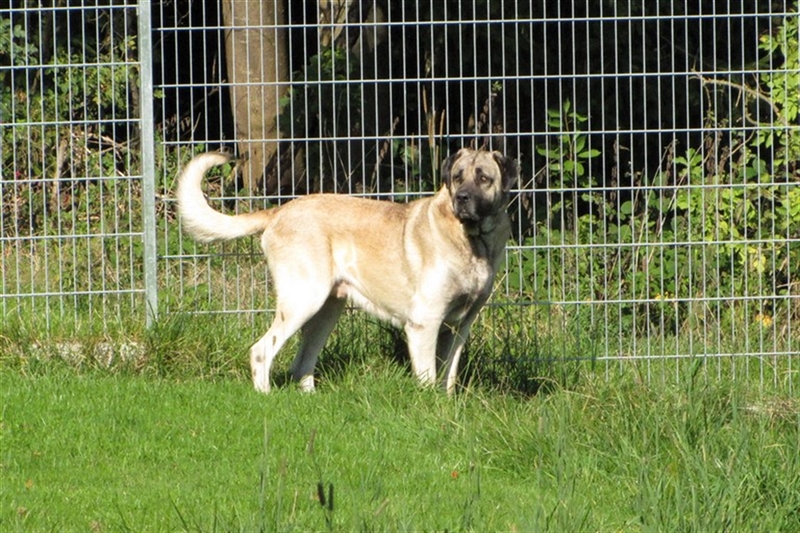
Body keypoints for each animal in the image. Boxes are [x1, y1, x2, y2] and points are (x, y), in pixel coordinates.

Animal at [176, 148, 518, 394]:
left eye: (483, 178)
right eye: (458, 177)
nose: (462, 198)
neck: (473, 243)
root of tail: (279, 210)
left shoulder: (460, 327)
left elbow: (448, 379)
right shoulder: (425, 322)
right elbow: (428, 378)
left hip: (326, 311)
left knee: (302, 362)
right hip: (303, 300)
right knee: (261, 350)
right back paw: (266, 396)